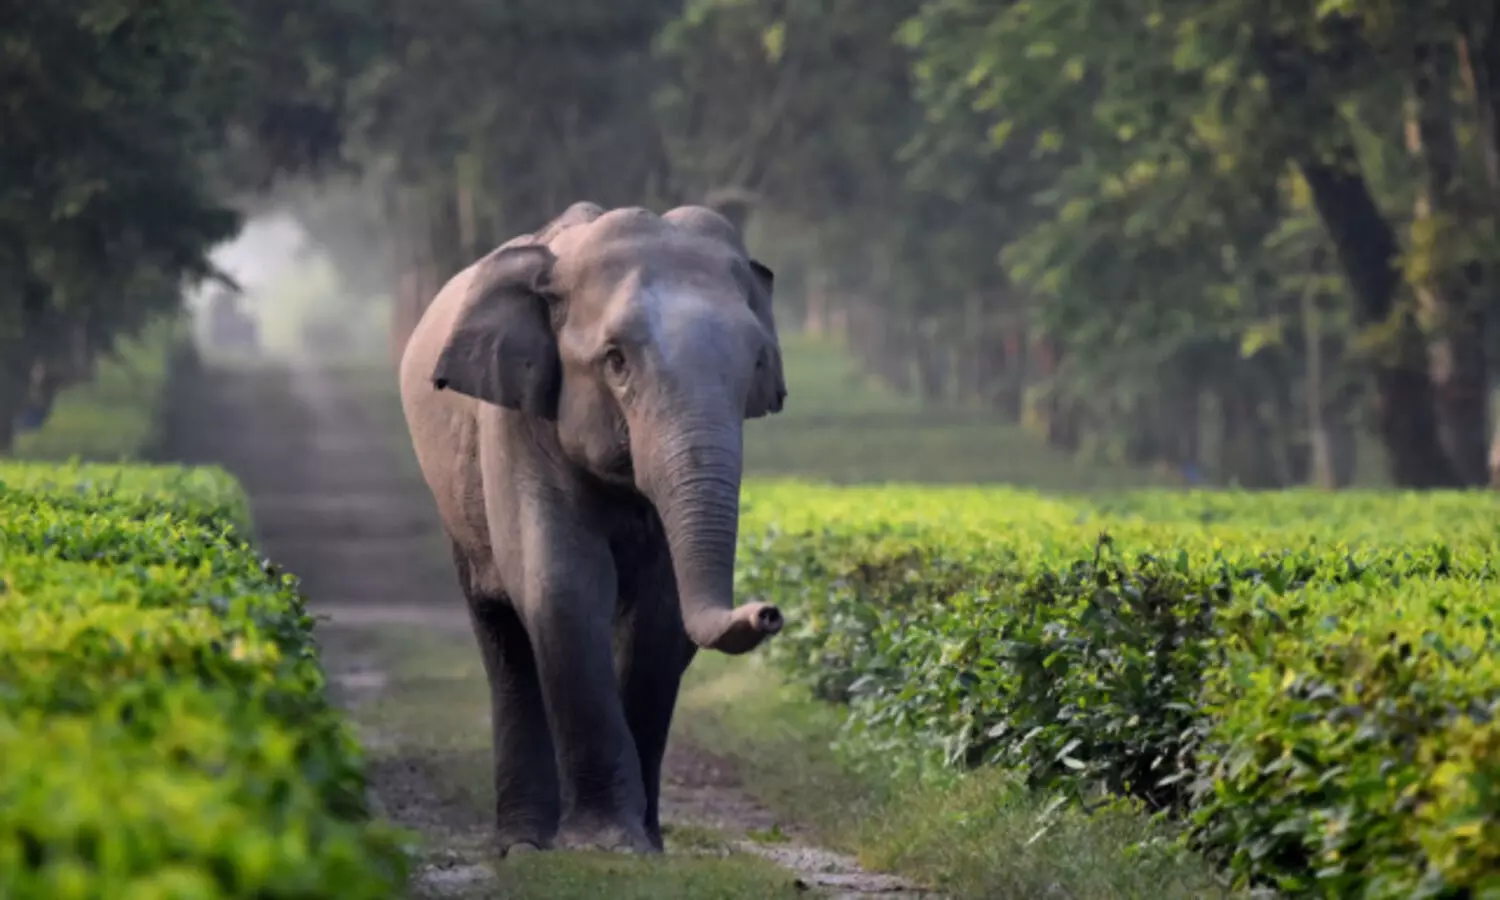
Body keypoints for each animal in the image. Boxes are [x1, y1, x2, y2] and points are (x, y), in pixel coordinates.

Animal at [397, 201, 789, 857]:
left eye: (755, 363)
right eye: (616, 361)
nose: (767, 613)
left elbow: (660, 615)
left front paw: (643, 847)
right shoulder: (518, 423)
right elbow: (562, 587)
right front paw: (607, 846)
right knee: (502, 633)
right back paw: (524, 844)